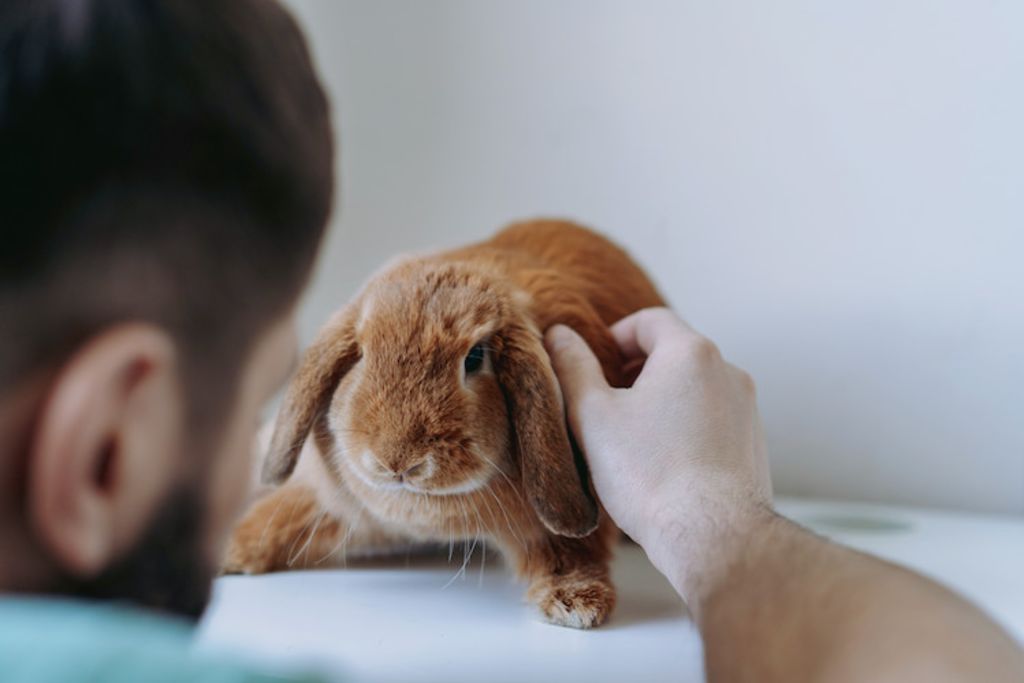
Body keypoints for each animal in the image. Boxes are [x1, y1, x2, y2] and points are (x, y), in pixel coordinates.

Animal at [226, 219, 663, 630]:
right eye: (362, 355)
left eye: (475, 357)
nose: (397, 462)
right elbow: (281, 515)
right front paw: (230, 552)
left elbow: (571, 551)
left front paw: (575, 603)